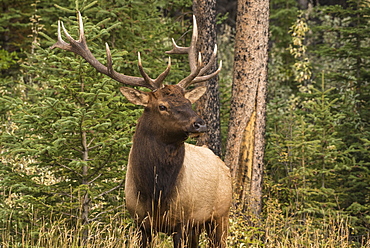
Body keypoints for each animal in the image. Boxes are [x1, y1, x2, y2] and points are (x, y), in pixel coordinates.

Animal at [51, 12, 233, 247]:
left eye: (188, 102)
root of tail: (222, 164)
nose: (200, 123)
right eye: (162, 106)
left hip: (220, 215)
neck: (155, 194)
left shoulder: (182, 222)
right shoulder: (140, 222)